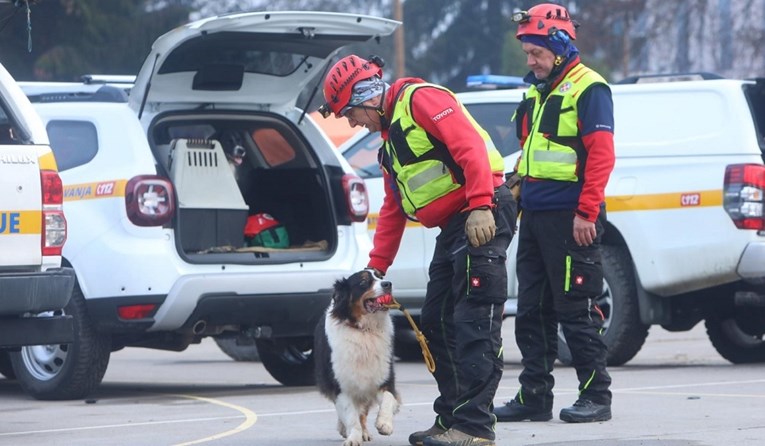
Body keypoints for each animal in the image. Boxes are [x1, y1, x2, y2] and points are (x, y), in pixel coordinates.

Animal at [314, 268, 402, 446]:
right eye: (363, 282)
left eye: (380, 276)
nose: (388, 284)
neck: (364, 329)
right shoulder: (342, 385)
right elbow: (351, 416)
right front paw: (353, 437)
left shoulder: (383, 376)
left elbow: (388, 398)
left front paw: (384, 424)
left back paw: (365, 432)